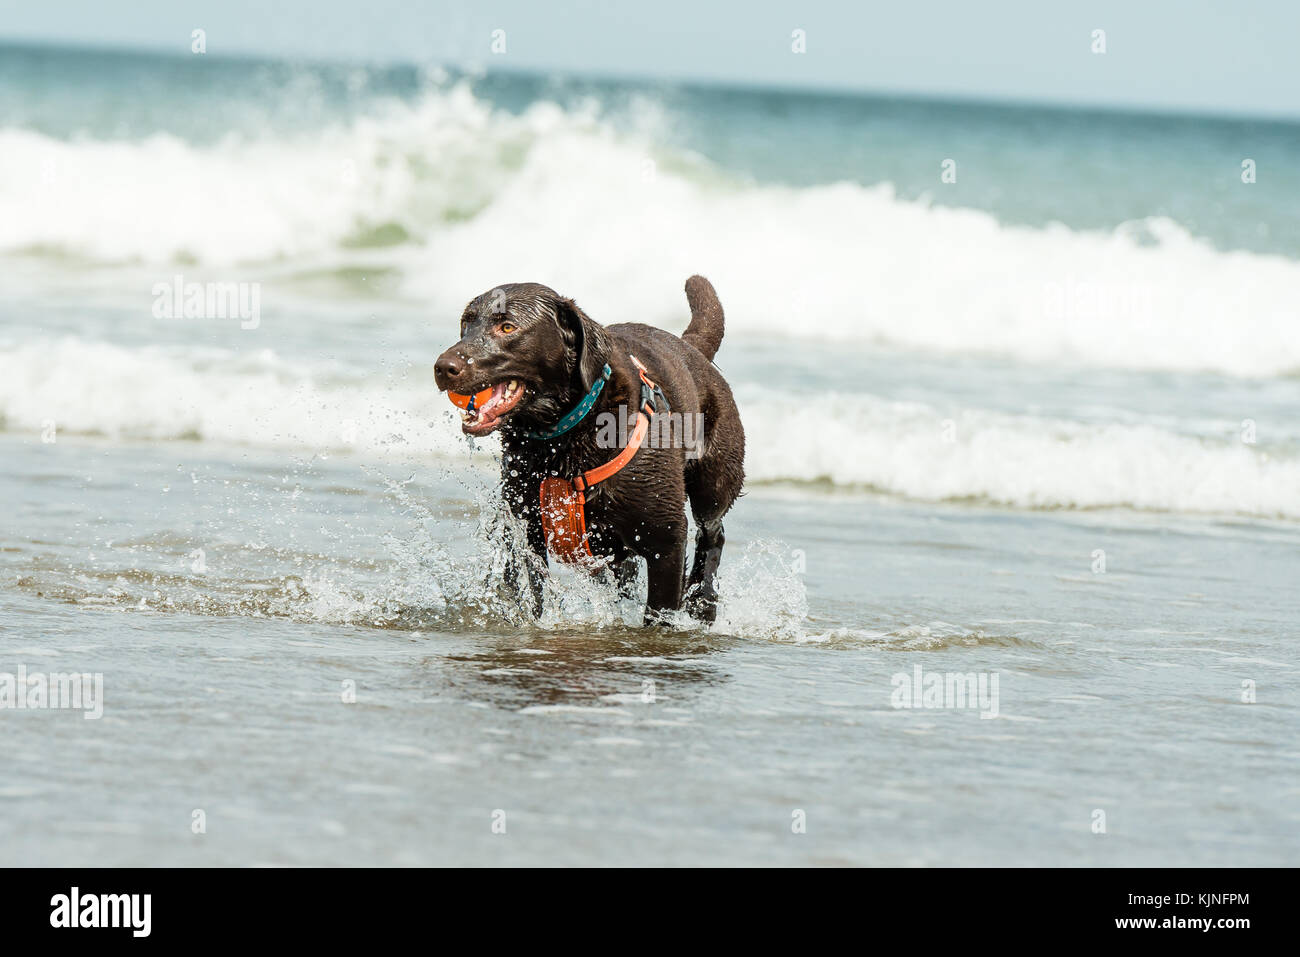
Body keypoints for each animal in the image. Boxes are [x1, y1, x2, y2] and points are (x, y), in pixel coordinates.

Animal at [434, 274, 743, 629]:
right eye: (466, 324)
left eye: (508, 327)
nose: (442, 367)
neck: (560, 440)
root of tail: (693, 349)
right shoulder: (526, 529)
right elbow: (533, 592)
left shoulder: (666, 540)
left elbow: (659, 609)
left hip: (713, 482)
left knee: (713, 532)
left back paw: (703, 603)